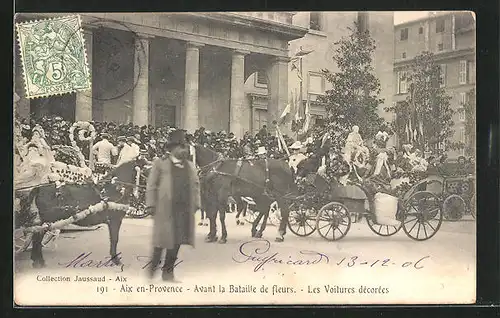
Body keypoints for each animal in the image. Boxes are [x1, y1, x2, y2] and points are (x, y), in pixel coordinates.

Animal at [18, 158, 150, 268]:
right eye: (147, 169)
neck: (114, 188)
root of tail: (39, 188)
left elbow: (113, 239)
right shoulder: (115, 221)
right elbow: (114, 239)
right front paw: (115, 260)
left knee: (36, 237)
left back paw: (37, 260)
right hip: (48, 220)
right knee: (37, 237)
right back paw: (38, 262)